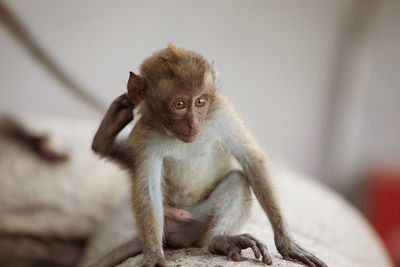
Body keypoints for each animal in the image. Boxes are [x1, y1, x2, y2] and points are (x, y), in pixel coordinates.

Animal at [89, 45, 326, 266]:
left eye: (201, 102)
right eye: (179, 104)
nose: (193, 123)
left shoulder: (222, 110)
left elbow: (251, 159)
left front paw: (287, 243)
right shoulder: (146, 133)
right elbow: (147, 186)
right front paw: (154, 256)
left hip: (199, 221)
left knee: (238, 180)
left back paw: (219, 240)